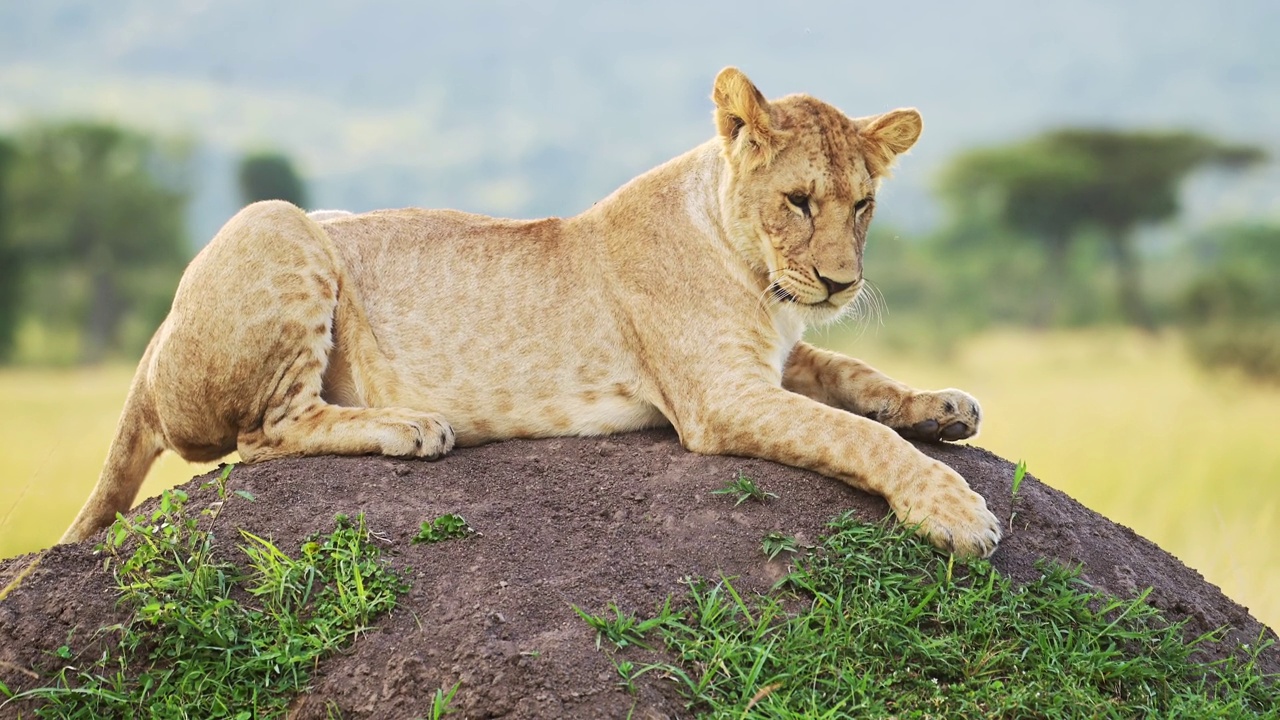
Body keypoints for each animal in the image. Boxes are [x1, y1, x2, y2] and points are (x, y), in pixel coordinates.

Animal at [60, 68, 998, 556]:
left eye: (864, 205)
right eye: (799, 202)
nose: (839, 285)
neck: (757, 273)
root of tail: (152, 347)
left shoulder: (776, 357)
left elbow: (854, 374)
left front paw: (941, 406)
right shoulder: (719, 398)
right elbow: (855, 434)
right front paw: (956, 512)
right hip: (278, 219)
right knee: (264, 434)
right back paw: (410, 426)